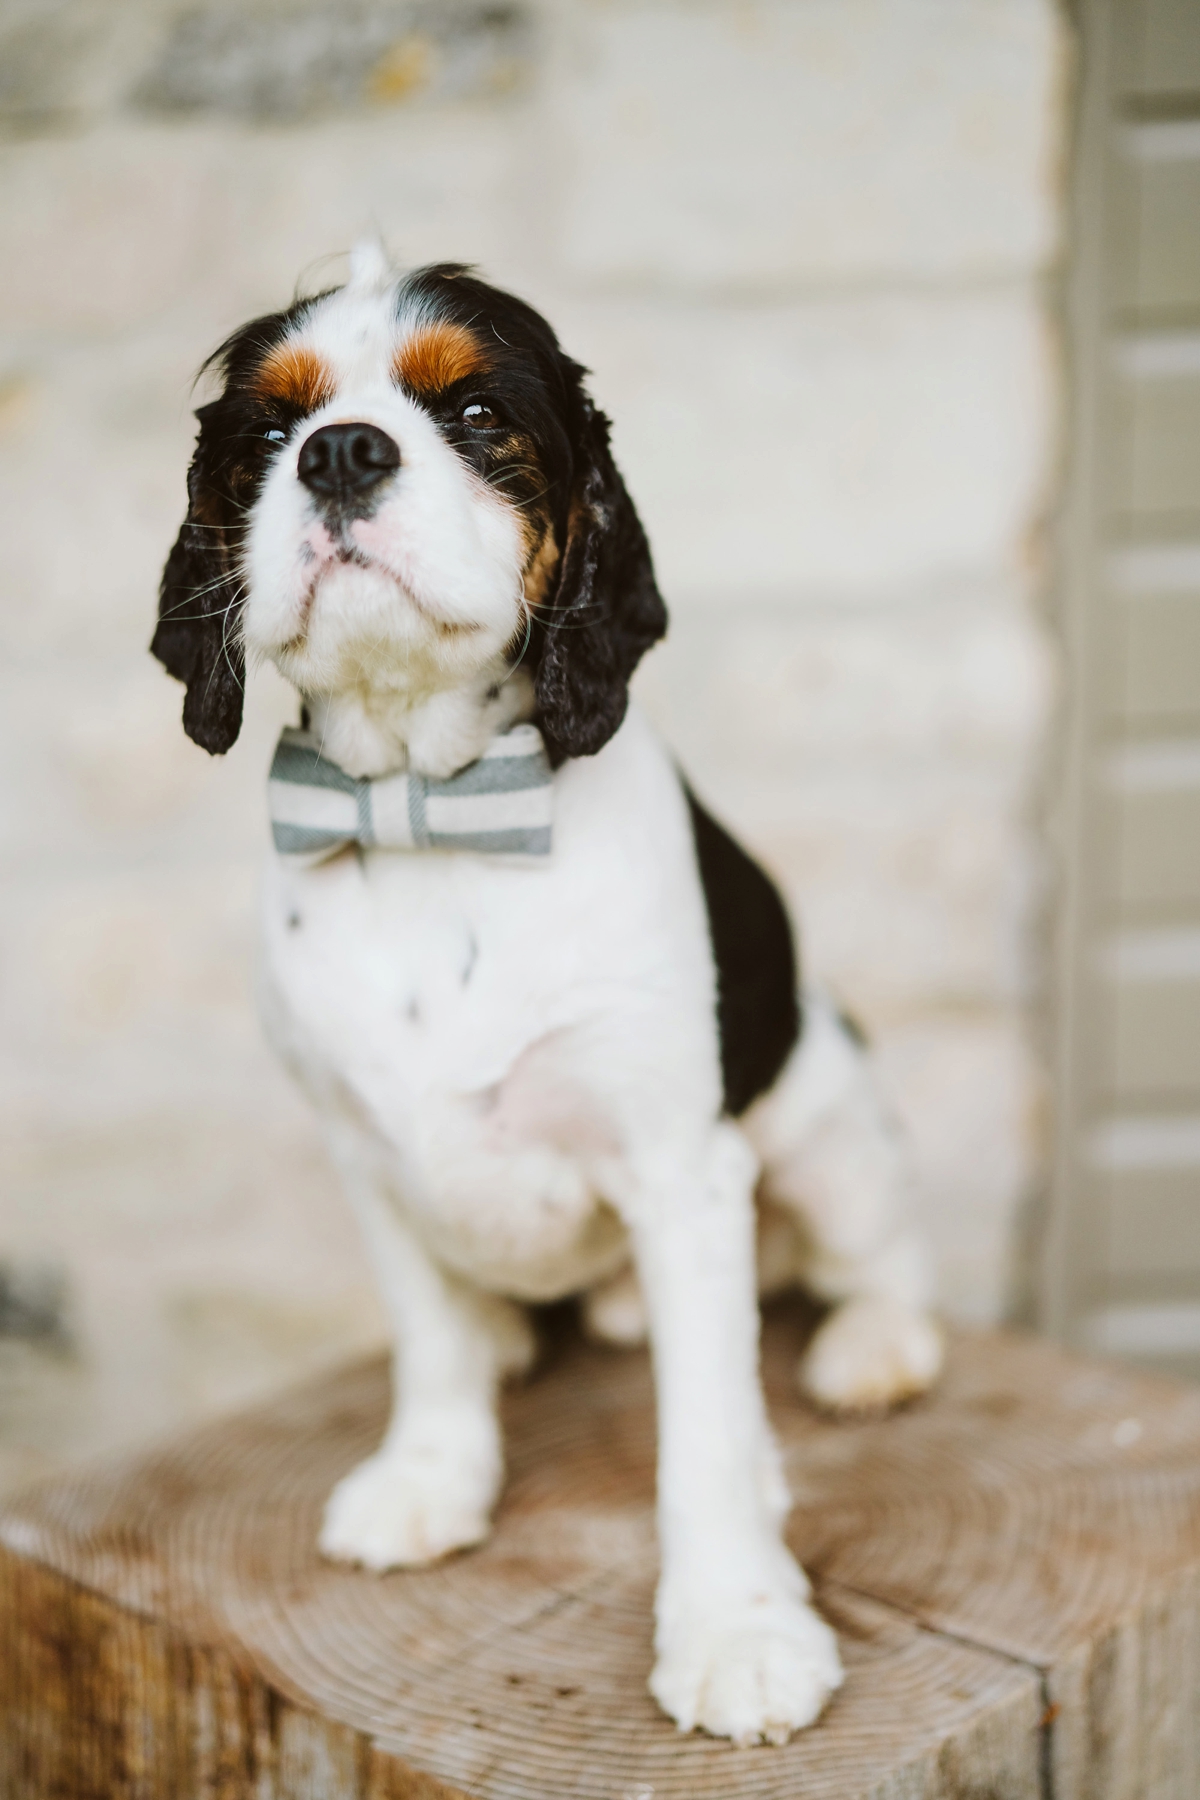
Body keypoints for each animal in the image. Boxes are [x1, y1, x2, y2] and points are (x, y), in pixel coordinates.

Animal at [152, 243, 935, 1742]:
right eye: (267, 436)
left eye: (474, 415)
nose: (341, 452)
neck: (424, 815)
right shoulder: (363, 1153)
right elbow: (428, 1342)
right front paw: (429, 1478)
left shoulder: (684, 1171)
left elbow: (706, 1437)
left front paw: (737, 1631)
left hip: (828, 1114)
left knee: (879, 1257)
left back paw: (872, 1350)